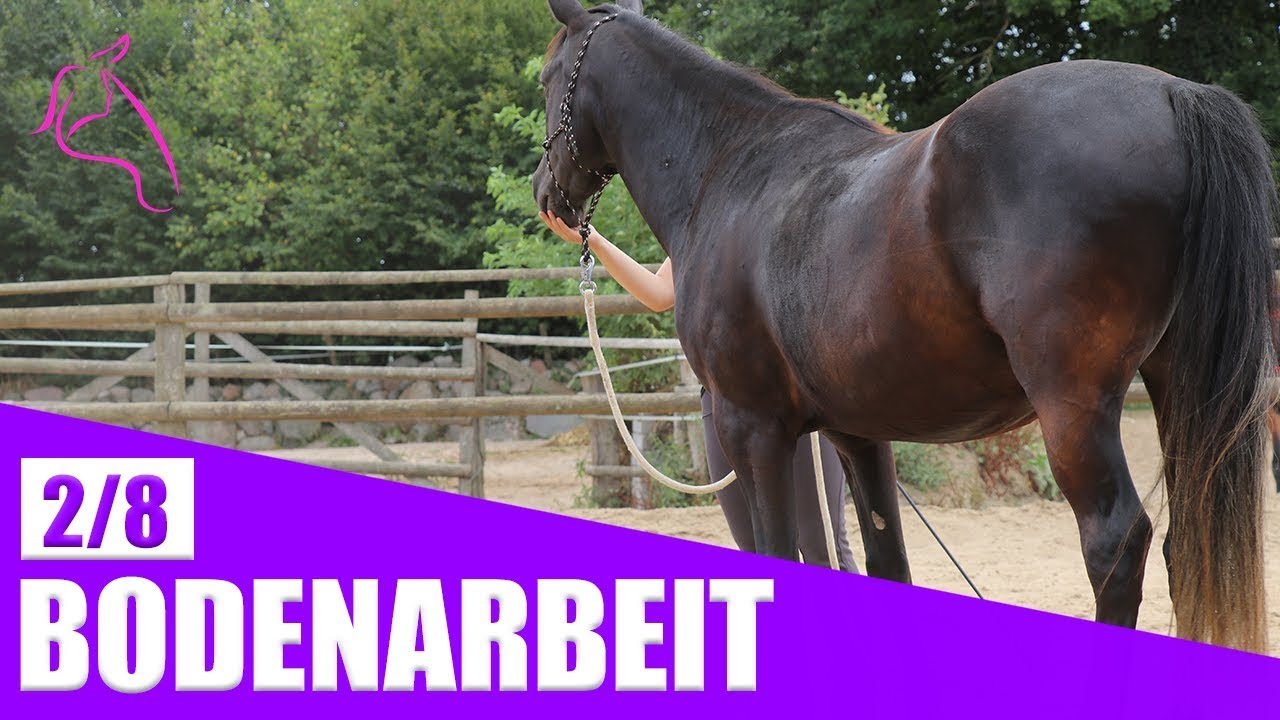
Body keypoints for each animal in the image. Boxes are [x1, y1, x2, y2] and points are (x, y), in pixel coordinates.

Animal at [533, 0, 1276, 653]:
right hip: (1179, 389)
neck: (732, 171)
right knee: (1188, 545)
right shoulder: (856, 432)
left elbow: (779, 552)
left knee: (1115, 543)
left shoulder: (755, 426)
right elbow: (886, 561)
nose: (547, 196)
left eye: (545, 78)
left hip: (1073, 405)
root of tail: (1175, 94)